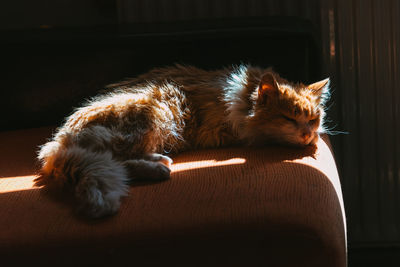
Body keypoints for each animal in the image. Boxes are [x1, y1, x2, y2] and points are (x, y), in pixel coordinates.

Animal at [34, 63, 330, 219]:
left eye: (313, 119)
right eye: (289, 119)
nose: (308, 134)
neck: (246, 97)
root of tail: (59, 144)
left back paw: (160, 161)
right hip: (156, 113)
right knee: (118, 159)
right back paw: (158, 168)